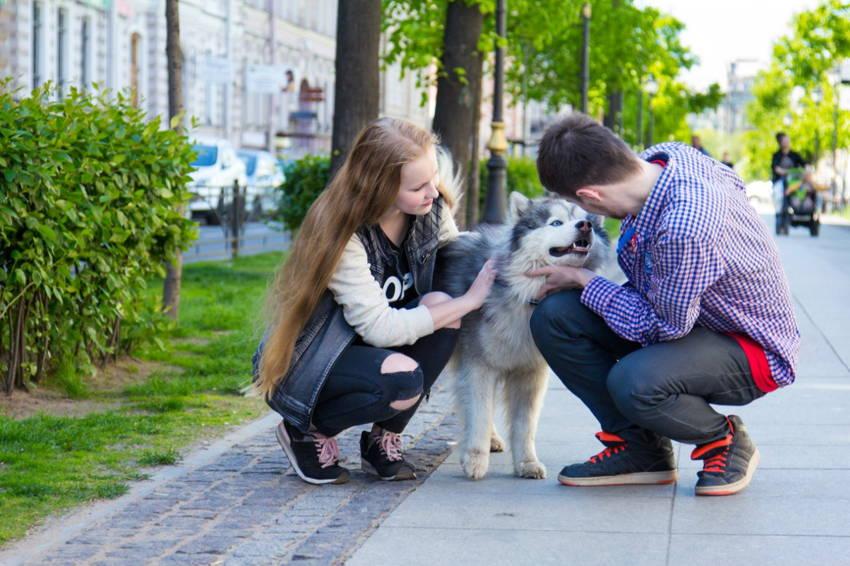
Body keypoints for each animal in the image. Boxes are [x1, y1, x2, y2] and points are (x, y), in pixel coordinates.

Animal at [438, 193, 608, 482]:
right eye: (556, 222)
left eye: (583, 220)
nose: (585, 226)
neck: (526, 294)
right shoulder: (478, 365)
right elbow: (479, 413)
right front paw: (475, 458)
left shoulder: (530, 373)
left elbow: (524, 425)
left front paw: (527, 463)